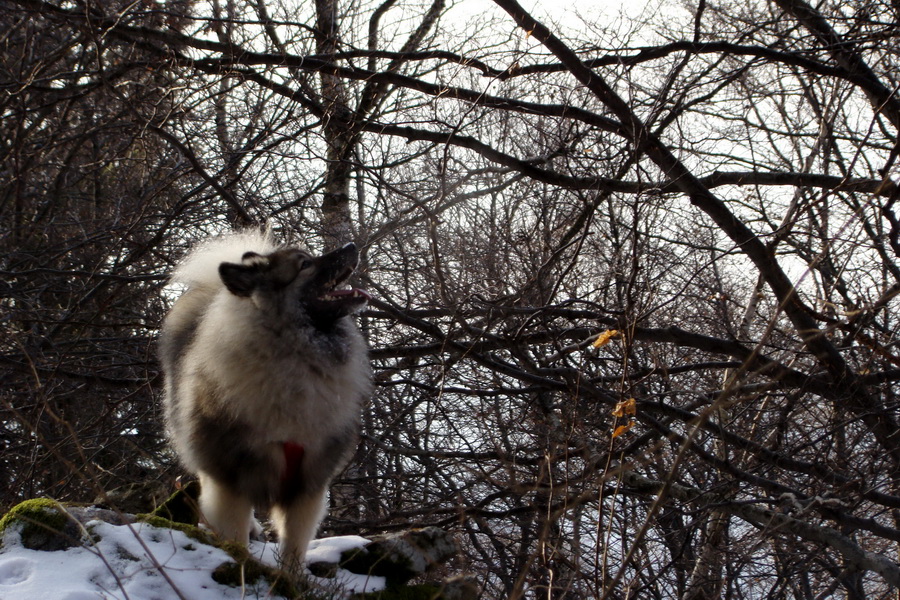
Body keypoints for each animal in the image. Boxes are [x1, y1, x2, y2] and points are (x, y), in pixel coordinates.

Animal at [160, 229, 370, 568]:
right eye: (305, 264)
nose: (351, 246)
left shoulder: (307, 486)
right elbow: (235, 537)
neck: (294, 354)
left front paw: (292, 577)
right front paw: (242, 565)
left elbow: (294, 548)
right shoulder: (231, 480)